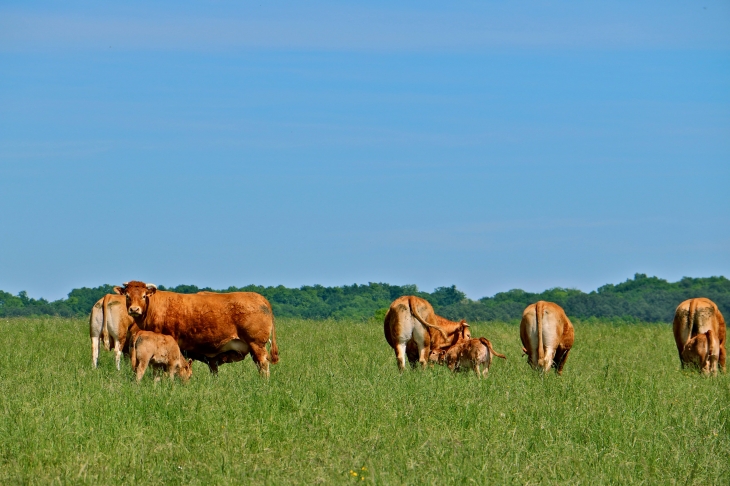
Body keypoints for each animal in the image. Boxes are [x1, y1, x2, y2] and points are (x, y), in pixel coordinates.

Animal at [115, 280, 278, 380]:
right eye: (127, 296)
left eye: (143, 296)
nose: (134, 309)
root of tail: (260, 297)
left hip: (257, 345)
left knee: (263, 365)